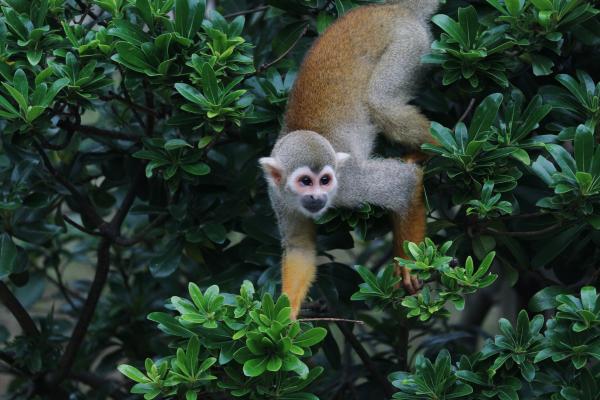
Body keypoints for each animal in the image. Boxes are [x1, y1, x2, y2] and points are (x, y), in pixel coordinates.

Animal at [260, 0, 438, 318]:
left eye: (325, 180)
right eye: (305, 182)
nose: (317, 197)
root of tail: (389, 8)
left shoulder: (350, 182)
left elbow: (405, 185)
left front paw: (409, 265)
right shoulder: (278, 195)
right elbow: (300, 248)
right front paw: (284, 315)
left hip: (408, 45)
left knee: (380, 102)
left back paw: (439, 147)